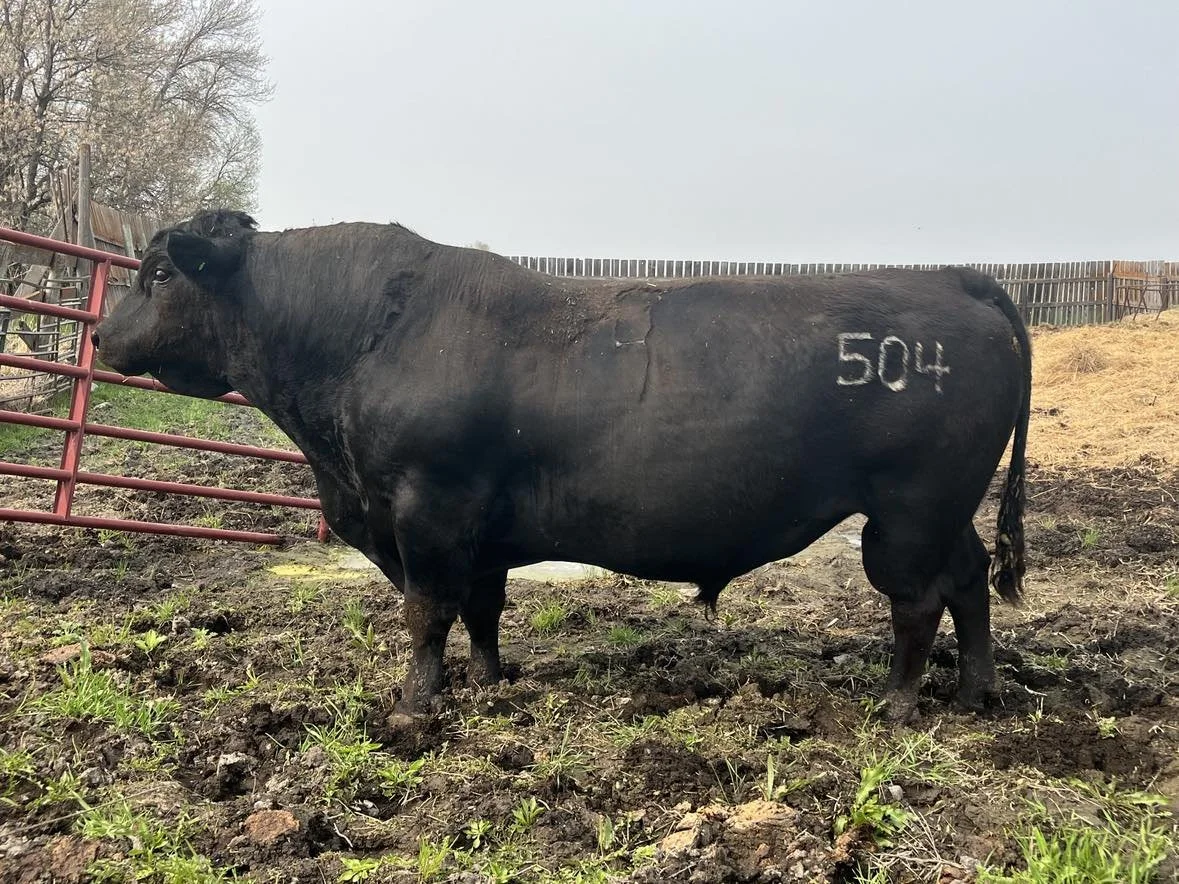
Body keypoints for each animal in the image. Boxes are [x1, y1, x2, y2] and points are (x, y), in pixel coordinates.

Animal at [93, 210, 1030, 722]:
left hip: (907, 511)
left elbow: (427, 610)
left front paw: (413, 704)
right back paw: (976, 692)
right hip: (941, 510)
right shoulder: (475, 529)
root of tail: (953, 279)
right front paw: (488, 682)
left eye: (159, 272)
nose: (100, 335)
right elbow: (480, 610)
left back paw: (898, 702)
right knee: (969, 579)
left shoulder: (428, 508)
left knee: (918, 602)